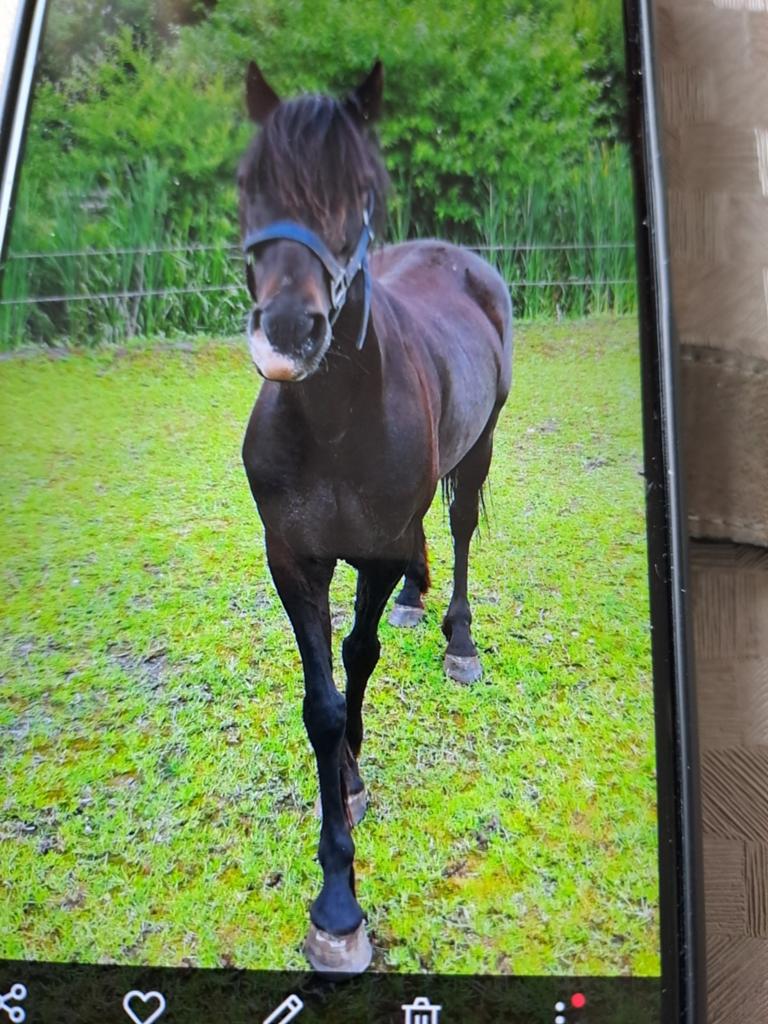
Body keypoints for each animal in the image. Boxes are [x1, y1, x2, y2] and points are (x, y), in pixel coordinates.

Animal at [237, 60, 513, 974]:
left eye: (361, 191)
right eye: (248, 182)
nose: (289, 332)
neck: (330, 421)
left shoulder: (374, 550)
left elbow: (358, 658)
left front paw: (340, 902)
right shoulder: (293, 558)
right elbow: (323, 703)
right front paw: (343, 822)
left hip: (480, 447)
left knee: (458, 533)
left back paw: (458, 635)